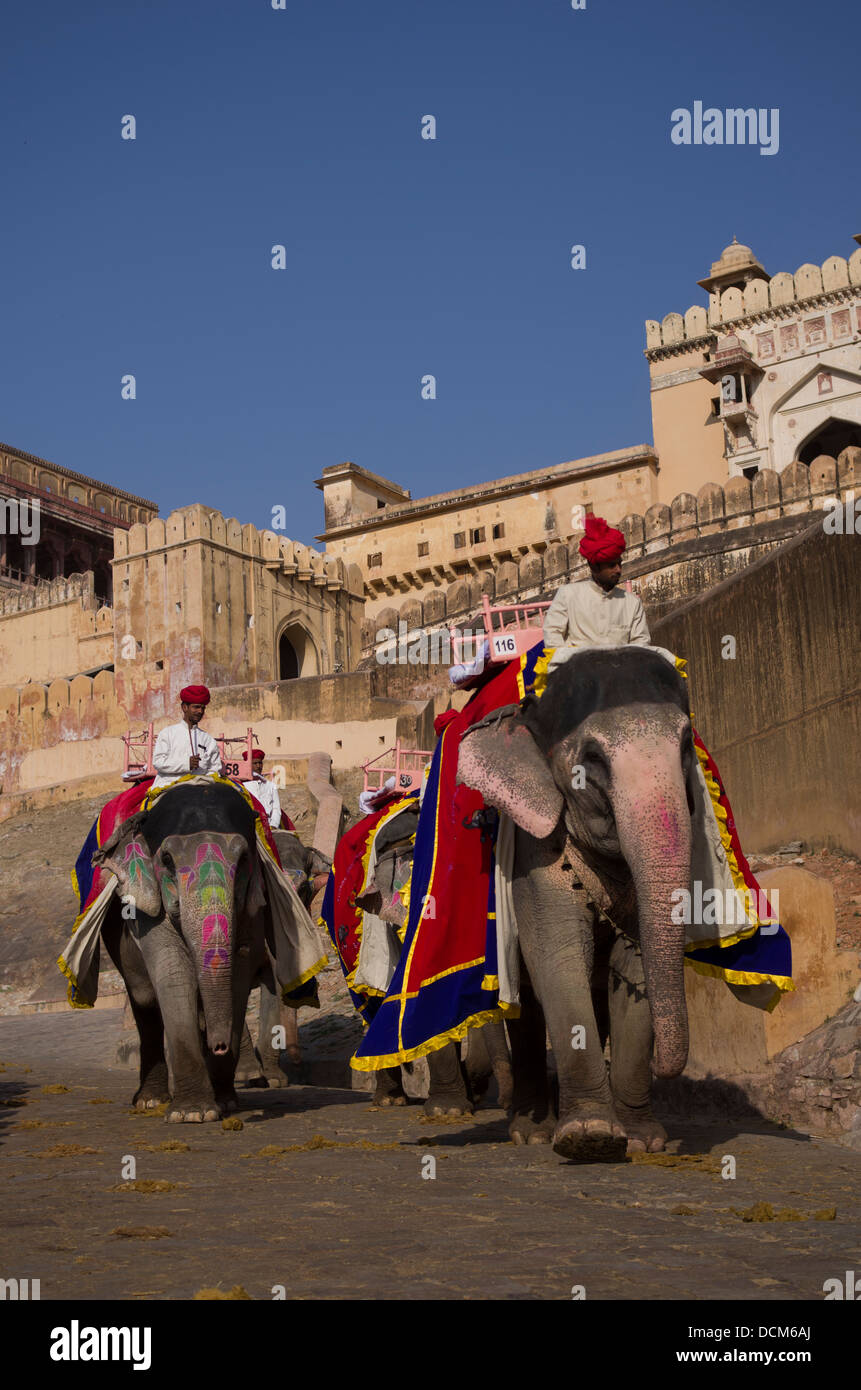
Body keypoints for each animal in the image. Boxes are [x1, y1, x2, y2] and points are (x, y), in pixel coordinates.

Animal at [461, 647, 698, 1162]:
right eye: (591, 759)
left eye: (687, 745)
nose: (666, 1066)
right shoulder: (535, 848)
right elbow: (559, 957)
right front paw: (588, 1136)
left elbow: (633, 965)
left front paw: (642, 1140)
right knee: (528, 1005)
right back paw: (530, 1131)